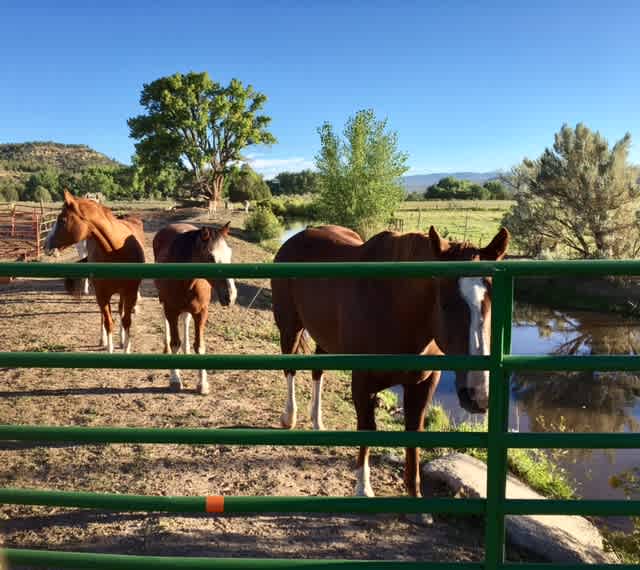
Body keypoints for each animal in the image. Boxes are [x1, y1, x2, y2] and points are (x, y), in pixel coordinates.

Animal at [45, 191, 146, 350]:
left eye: (62, 220)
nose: (45, 244)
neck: (116, 250)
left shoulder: (129, 292)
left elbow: (126, 321)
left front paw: (126, 346)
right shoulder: (102, 294)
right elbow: (108, 322)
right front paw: (109, 346)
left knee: (121, 311)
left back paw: (121, 338)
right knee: (103, 316)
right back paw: (102, 339)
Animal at [152, 223, 238, 394]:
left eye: (230, 253)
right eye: (211, 258)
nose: (230, 296)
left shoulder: (201, 312)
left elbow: (200, 345)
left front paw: (202, 384)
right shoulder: (171, 310)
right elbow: (174, 343)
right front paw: (175, 379)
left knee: (185, 319)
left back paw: (186, 349)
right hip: (163, 301)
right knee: (166, 321)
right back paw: (166, 346)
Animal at [272, 223, 510, 516]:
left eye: (492, 305)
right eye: (445, 303)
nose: (478, 394)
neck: (396, 308)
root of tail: (297, 237)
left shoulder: (423, 384)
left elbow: (413, 433)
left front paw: (415, 498)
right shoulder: (362, 383)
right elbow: (367, 428)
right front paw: (363, 488)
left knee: (318, 372)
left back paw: (317, 422)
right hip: (289, 326)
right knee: (290, 368)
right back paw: (289, 417)